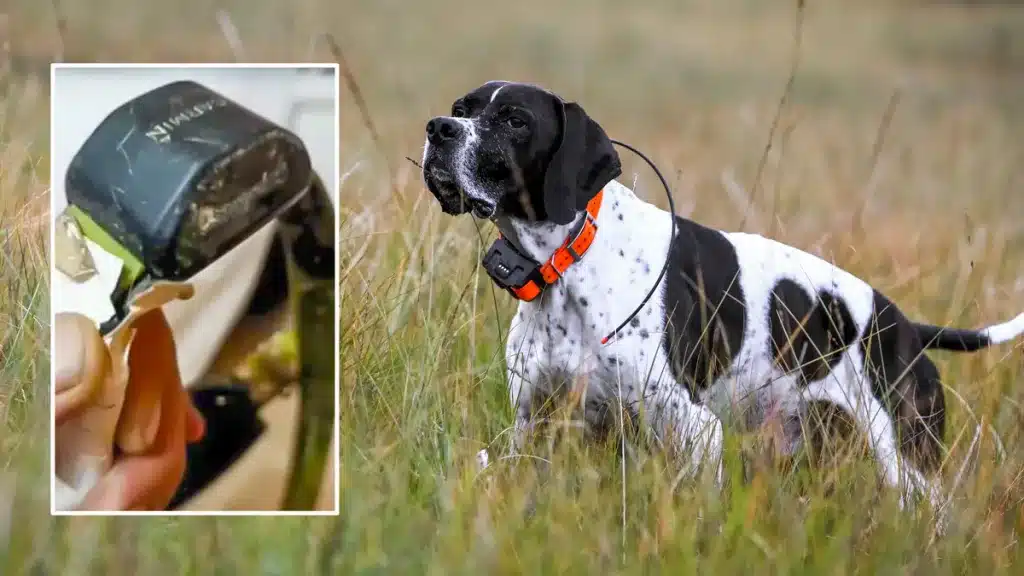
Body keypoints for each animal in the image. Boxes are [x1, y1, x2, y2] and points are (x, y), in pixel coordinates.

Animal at [419, 78, 1024, 508]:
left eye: (515, 120)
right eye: (461, 106)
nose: (438, 128)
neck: (570, 263)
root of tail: (906, 327)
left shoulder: (695, 431)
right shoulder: (537, 428)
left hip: (907, 465)